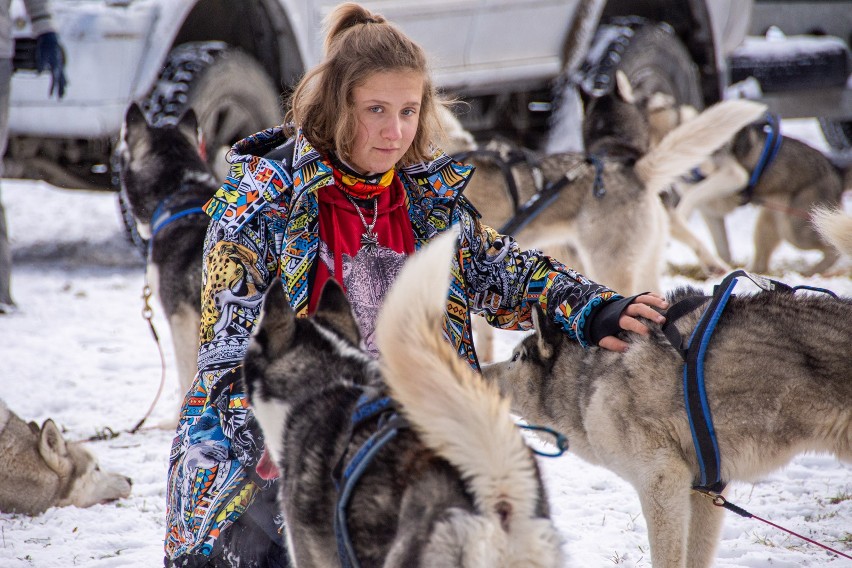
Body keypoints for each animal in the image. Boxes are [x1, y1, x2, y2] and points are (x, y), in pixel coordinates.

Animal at [648, 93, 848, 276]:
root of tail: (836, 170)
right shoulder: (711, 212)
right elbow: (722, 250)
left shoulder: (733, 175)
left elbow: (689, 199)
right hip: (769, 225)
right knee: (761, 263)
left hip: (796, 230)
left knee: (833, 248)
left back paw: (810, 272)